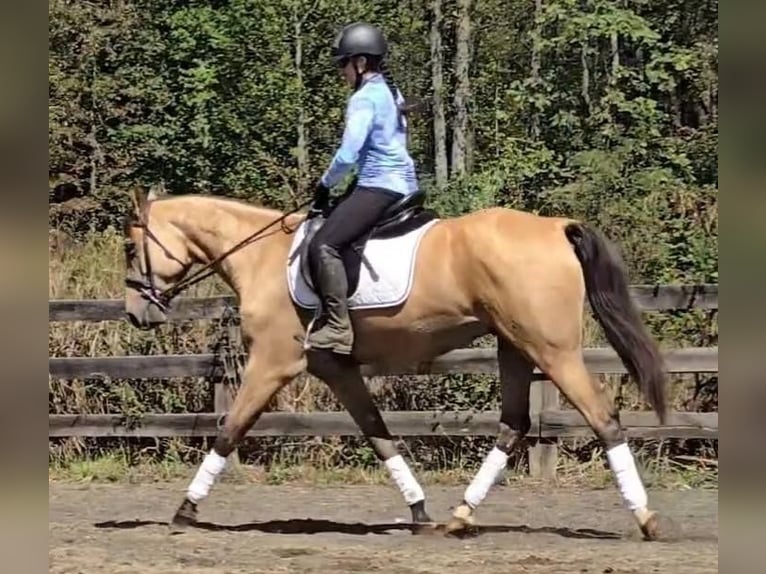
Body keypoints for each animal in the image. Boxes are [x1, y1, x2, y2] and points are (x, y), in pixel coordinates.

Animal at [122, 184, 668, 540]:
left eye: (130, 247)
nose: (134, 313)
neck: (262, 257)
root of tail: (557, 226)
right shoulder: (337, 370)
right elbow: (378, 433)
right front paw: (419, 509)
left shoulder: (272, 364)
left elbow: (229, 429)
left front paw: (186, 509)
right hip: (514, 345)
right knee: (513, 425)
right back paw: (460, 516)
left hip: (551, 350)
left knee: (603, 418)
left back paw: (646, 519)